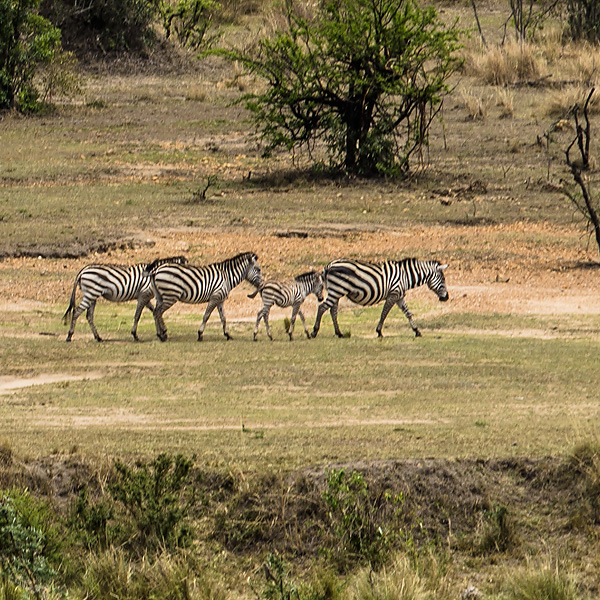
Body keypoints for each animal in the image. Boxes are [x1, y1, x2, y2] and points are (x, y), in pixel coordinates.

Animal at [312, 258, 448, 340]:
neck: (405, 276)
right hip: (337, 290)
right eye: (443, 279)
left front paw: (417, 331)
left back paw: (339, 333)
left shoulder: (399, 296)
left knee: (332, 311)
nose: (446, 298)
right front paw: (379, 332)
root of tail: (329, 265)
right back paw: (314, 332)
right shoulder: (393, 294)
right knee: (322, 307)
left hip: (336, 291)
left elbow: (408, 313)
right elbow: (384, 313)